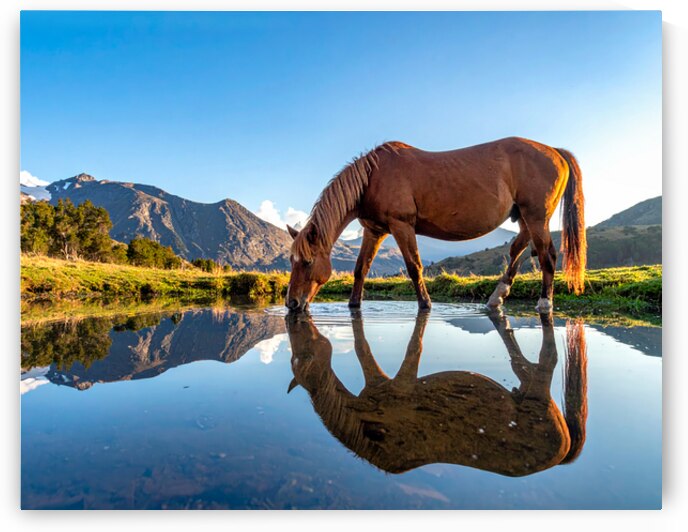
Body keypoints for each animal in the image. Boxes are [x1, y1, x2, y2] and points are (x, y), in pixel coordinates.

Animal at [285, 137, 586, 313]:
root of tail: (555, 151)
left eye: (308, 262)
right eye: (292, 261)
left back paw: (544, 303)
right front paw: (353, 304)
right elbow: (361, 269)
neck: (373, 176)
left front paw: (425, 304)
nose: (291, 303)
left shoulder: (401, 225)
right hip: (524, 216)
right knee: (518, 248)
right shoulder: (374, 231)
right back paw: (496, 296)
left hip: (536, 217)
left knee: (547, 256)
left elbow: (413, 267)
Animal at [285, 310, 588, 476]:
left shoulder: (398, 383)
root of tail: (564, 449)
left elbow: (398, 348)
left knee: (544, 366)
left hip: (538, 396)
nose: (296, 312)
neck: (363, 427)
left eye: (303, 356)